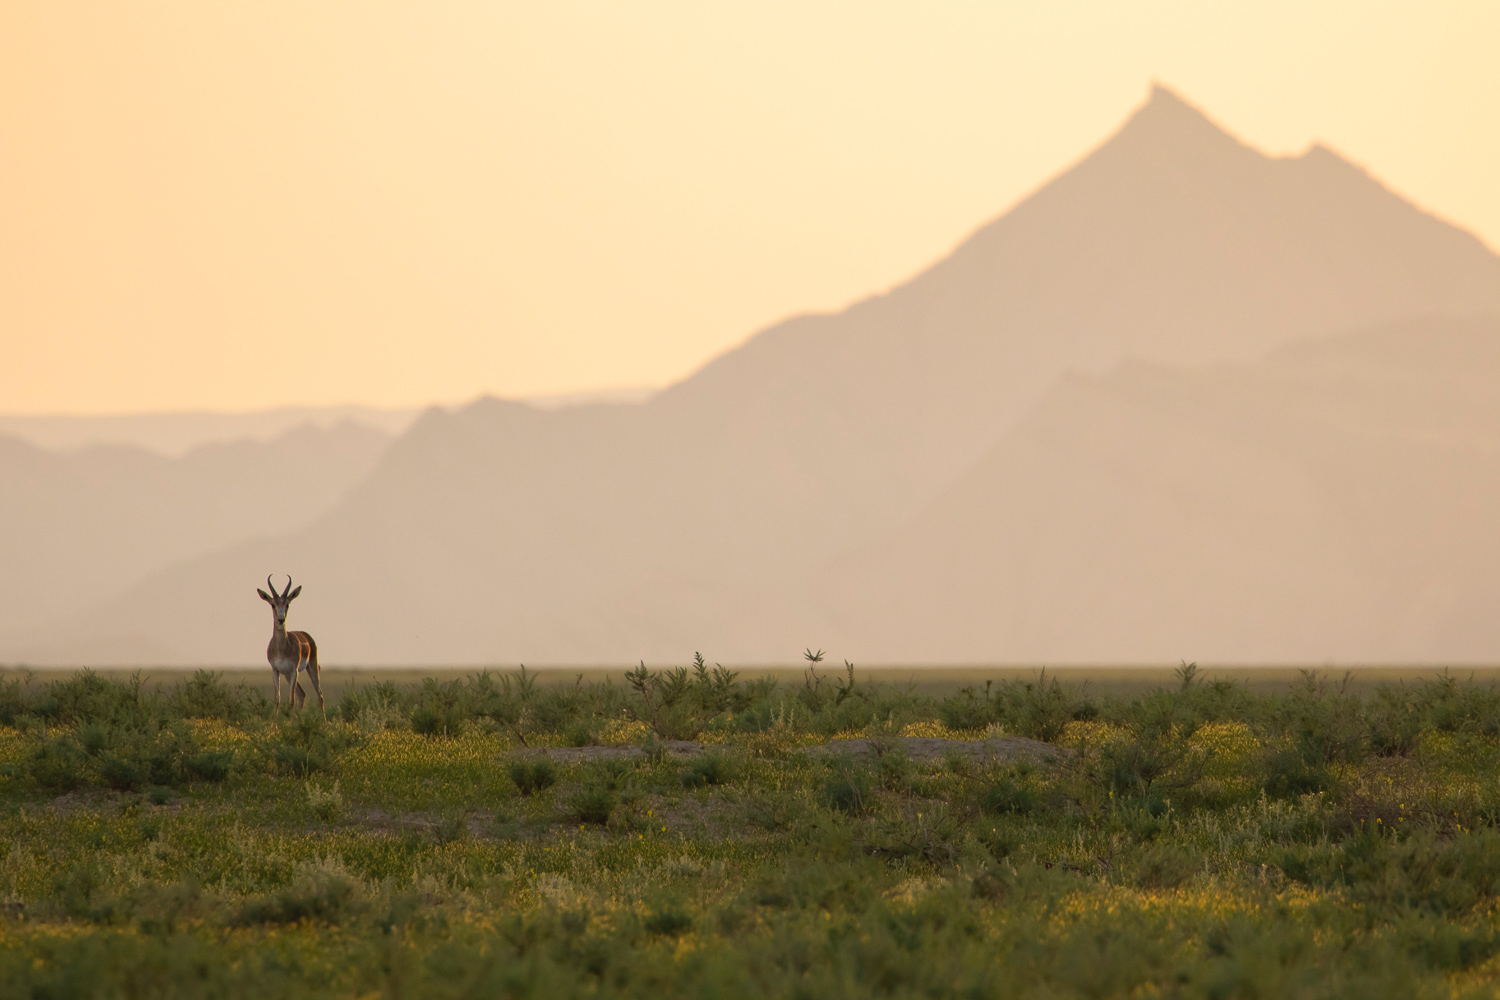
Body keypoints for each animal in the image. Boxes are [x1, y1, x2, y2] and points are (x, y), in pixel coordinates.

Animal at [256, 575, 325, 719]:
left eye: (287, 604)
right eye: (273, 604)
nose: (281, 619)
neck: (281, 649)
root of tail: (307, 636)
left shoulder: (294, 671)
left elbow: (291, 699)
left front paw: (292, 723)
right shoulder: (275, 670)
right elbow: (277, 698)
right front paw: (274, 725)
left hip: (311, 669)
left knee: (320, 695)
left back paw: (325, 723)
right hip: (287, 675)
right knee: (302, 694)